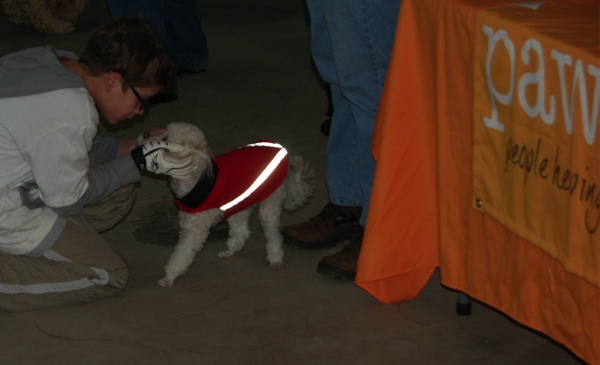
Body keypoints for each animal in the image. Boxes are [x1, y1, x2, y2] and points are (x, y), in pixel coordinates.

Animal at [154, 121, 314, 286]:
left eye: (165, 138)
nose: (150, 137)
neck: (194, 175)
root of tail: (281, 149)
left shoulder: (195, 231)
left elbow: (181, 254)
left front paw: (170, 276)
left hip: (269, 205)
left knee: (273, 235)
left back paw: (275, 259)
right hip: (240, 203)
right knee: (241, 231)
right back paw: (229, 251)